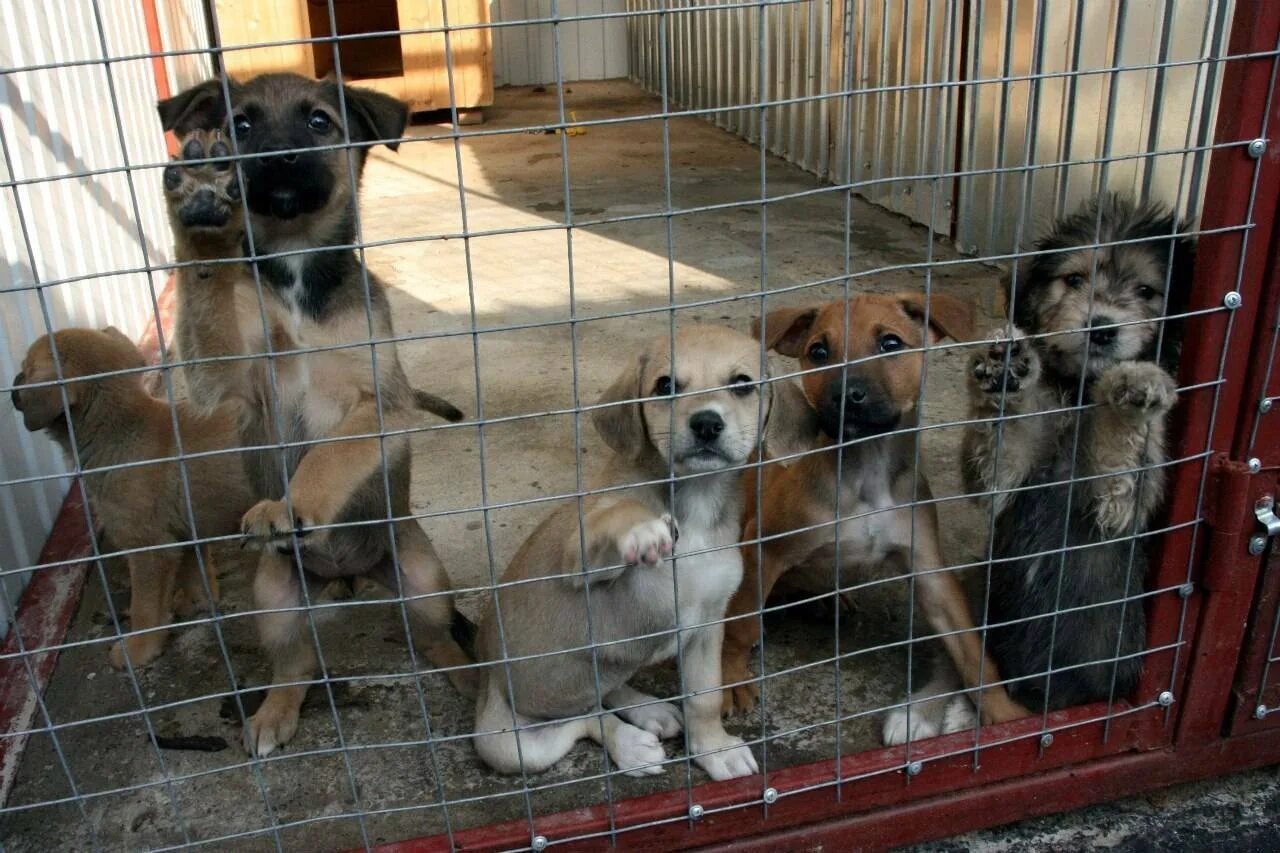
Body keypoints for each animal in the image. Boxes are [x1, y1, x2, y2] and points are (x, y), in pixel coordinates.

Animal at [10, 327, 252, 666]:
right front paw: (196, 602)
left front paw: (138, 649)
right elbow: (196, 571)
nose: (14, 382)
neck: (119, 428)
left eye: (26, 367)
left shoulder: (148, 548)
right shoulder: (185, 531)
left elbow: (144, 609)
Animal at [156, 71, 476, 753]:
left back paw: (465, 672)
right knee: (296, 664)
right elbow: (206, 300)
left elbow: (329, 456)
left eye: (319, 122)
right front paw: (199, 214)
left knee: (432, 634)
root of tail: (347, 572)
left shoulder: (379, 403)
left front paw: (290, 507)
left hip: (423, 577)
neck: (299, 269)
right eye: (241, 124)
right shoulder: (222, 382)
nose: (275, 159)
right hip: (274, 598)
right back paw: (274, 713)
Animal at [721, 292, 1029, 742]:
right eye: (818, 352)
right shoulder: (763, 547)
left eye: (890, 343)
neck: (865, 471)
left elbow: (973, 650)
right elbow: (740, 625)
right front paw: (729, 679)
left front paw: (1004, 714)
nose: (847, 395)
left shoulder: (930, 571)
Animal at [962, 192, 1192, 712]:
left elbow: (1120, 453)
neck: (1081, 391)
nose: (1102, 328)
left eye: (1146, 291)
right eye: (1074, 280)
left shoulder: (1117, 501)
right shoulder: (1005, 475)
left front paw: (1136, 383)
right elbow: (1002, 440)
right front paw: (1005, 369)